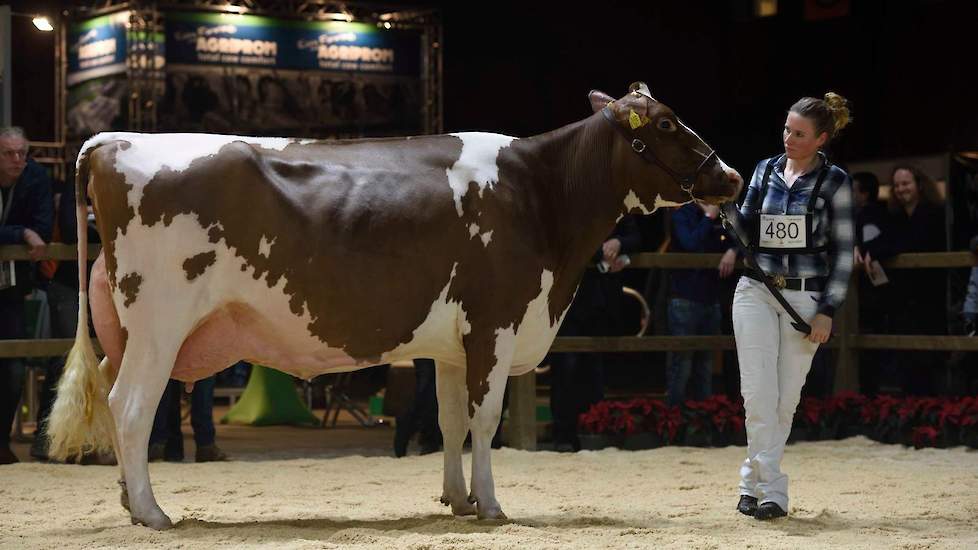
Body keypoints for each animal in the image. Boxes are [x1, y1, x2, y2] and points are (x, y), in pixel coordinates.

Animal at [47, 83, 740, 532]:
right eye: (668, 123)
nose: (731, 177)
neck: (539, 192)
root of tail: (116, 140)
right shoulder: (496, 324)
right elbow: (486, 421)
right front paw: (492, 507)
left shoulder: (457, 342)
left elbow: (452, 420)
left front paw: (458, 501)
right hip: (160, 323)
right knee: (130, 407)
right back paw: (152, 513)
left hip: (127, 331)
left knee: (113, 399)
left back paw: (127, 500)